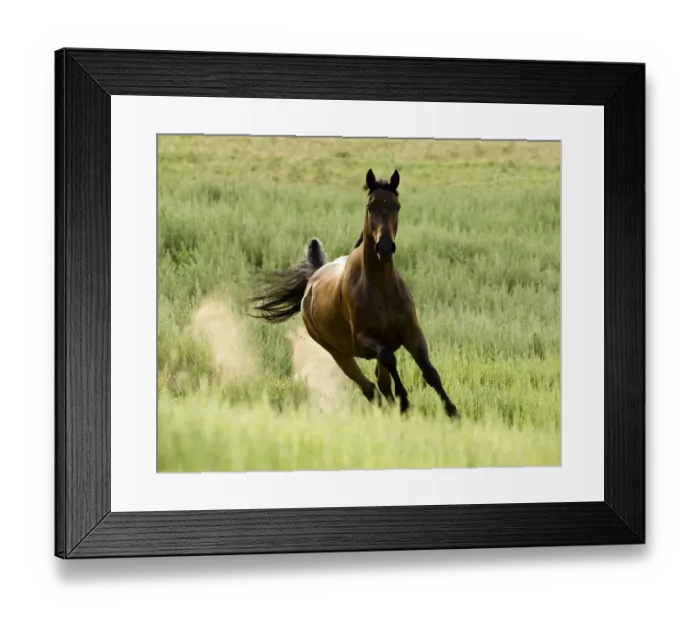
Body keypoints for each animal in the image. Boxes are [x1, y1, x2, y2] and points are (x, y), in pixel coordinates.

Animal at [249, 169, 460, 420]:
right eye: (370, 205)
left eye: (397, 206)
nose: (384, 247)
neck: (381, 288)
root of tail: (312, 280)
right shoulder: (365, 339)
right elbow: (390, 359)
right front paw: (405, 400)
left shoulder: (411, 331)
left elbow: (429, 371)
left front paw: (452, 411)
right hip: (339, 354)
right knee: (371, 389)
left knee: (381, 384)